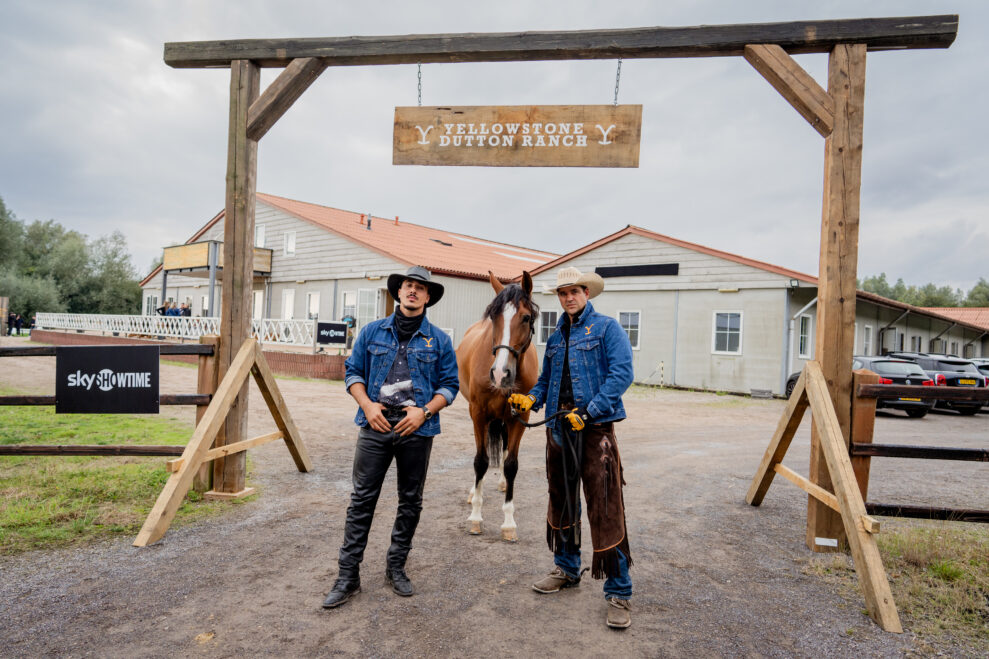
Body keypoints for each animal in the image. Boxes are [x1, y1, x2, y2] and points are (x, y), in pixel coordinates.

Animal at [458, 270, 540, 540]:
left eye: (526, 318)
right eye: (494, 317)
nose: (500, 374)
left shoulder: (520, 416)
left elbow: (512, 464)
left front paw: (509, 523)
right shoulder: (478, 413)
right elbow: (480, 461)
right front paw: (475, 517)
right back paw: (474, 492)